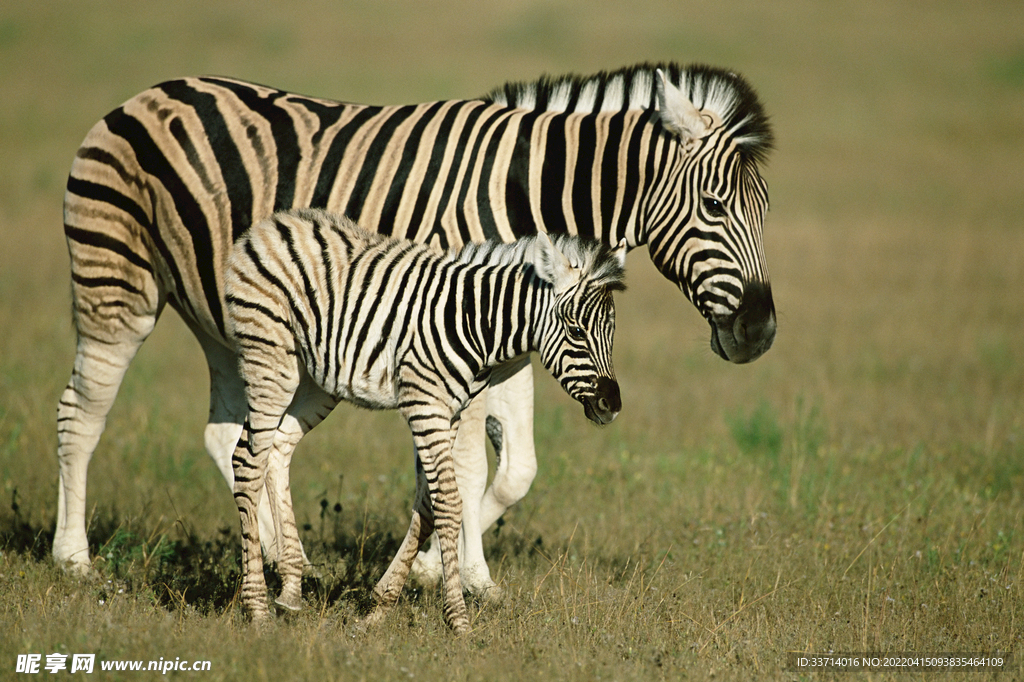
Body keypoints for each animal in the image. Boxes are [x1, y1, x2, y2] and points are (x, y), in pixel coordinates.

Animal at [224, 204, 622, 630]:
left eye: (612, 334)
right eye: (576, 331)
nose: (612, 404)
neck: (474, 322)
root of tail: (272, 224)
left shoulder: (450, 413)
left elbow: (428, 506)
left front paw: (380, 607)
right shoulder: (425, 406)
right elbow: (448, 501)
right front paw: (458, 618)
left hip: (317, 381)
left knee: (278, 449)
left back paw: (291, 592)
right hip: (271, 358)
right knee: (247, 460)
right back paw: (257, 609)